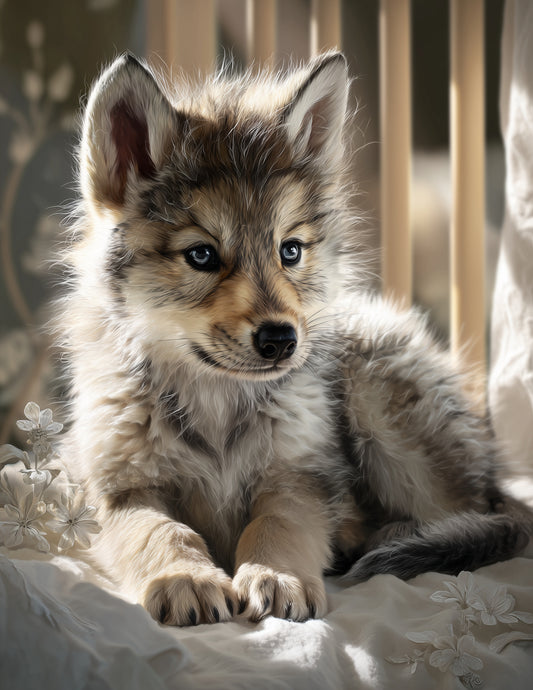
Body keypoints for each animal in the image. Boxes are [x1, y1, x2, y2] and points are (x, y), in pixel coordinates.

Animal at [58, 51, 531, 626]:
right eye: (201, 255)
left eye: (290, 250)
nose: (282, 340)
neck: (216, 398)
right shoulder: (122, 488)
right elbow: (164, 531)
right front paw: (187, 578)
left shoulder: (299, 475)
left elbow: (276, 525)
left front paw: (277, 575)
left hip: (374, 389)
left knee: (473, 511)